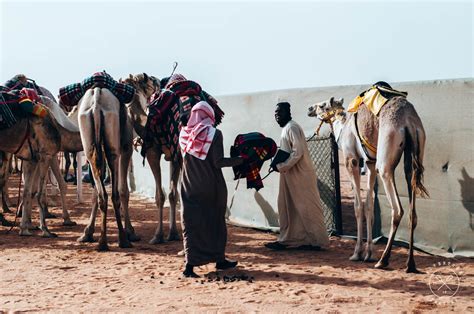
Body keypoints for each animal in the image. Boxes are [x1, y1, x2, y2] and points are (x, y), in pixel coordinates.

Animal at [75, 86, 135, 250]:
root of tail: (96, 101)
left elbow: (95, 193)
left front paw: (87, 233)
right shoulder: (126, 149)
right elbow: (124, 191)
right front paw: (131, 231)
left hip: (89, 141)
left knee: (102, 194)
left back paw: (102, 242)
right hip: (113, 148)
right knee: (115, 194)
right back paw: (123, 239)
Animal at [121, 73, 181, 243]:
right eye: (148, 80)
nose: (157, 81)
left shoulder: (176, 154)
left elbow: (170, 194)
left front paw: (168, 234)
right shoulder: (153, 152)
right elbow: (163, 195)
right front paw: (163, 235)